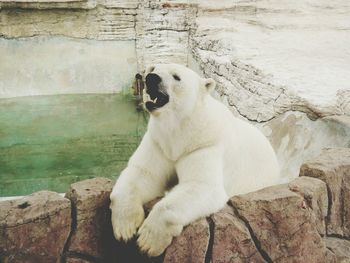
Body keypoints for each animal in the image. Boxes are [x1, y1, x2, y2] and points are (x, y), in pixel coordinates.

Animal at [110, 64, 280, 258]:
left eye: (176, 76)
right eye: (153, 68)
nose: (151, 78)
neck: (181, 128)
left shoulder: (204, 145)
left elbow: (201, 186)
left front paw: (148, 241)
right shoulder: (159, 142)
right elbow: (144, 173)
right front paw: (125, 228)